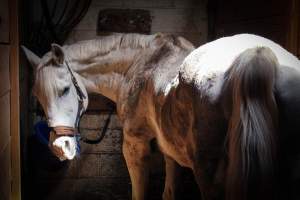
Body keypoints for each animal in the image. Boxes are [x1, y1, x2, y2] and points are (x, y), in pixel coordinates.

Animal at [22, 33, 300, 200]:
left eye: (64, 89)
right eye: (37, 96)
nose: (60, 147)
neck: (141, 64)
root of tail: (256, 56)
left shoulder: (135, 146)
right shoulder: (170, 150)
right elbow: (170, 191)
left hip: (208, 174)